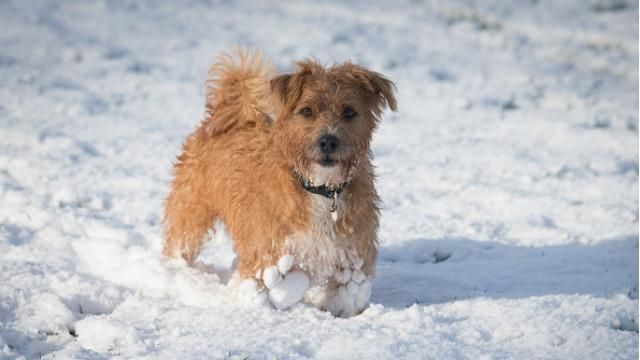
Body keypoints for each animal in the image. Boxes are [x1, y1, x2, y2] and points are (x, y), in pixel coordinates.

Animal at [162, 50, 398, 316]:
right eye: (307, 110)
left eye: (349, 112)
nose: (328, 141)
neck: (320, 189)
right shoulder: (267, 255)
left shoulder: (352, 258)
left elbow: (345, 297)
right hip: (191, 210)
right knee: (179, 242)